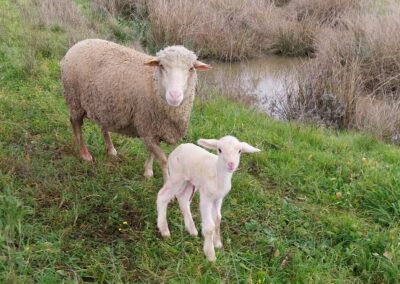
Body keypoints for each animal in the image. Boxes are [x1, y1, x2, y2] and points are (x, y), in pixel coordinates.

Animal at [61, 38, 211, 180]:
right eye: (161, 66)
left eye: (191, 68)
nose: (174, 96)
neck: (153, 83)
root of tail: (78, 44)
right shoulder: (146, 126)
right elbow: (163, 160)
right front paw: (167, 183)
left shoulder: (153, 127)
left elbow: (152, 153)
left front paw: (148, 171)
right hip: (74, 99)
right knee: (76, 125)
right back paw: (85, 154)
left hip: (103, 104)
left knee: (103, 126)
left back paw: (111, 149)